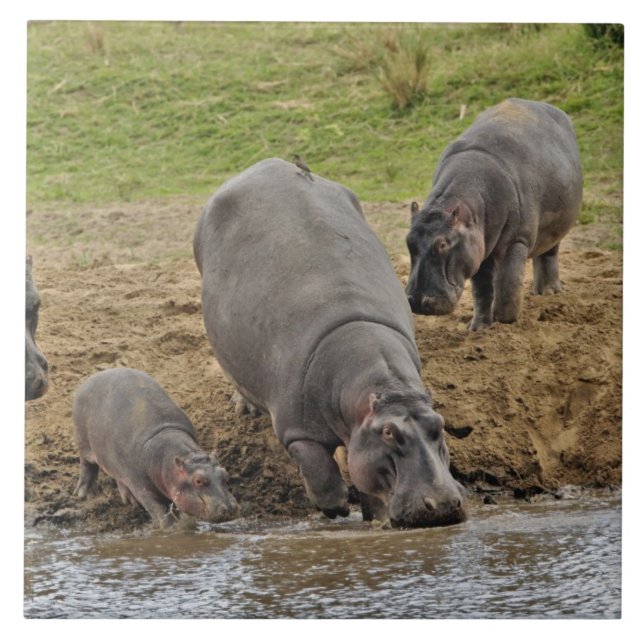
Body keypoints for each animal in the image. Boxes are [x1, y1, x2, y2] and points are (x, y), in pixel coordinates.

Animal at [72, 368, 239, 528]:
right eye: (198, 481)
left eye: (225, 474)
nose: (230, 508)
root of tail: (93, 376)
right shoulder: (142, 488)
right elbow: (159, 512)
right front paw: (172, 529)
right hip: (84, 442)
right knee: (87, 466)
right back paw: (84, 494)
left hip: (113, 460)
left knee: (119, 477)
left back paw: (129, 501)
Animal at [193, 157, 466, 528]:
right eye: (389, 433)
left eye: (439, 425)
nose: (442, 505)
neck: (384, 388)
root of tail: (265, 163)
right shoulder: (297, 429)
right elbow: (320, 471)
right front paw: (335, 509)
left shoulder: (360, 436)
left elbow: (365, 477)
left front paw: (375, 519)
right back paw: (244, 407)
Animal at [405, 98, 583, 331]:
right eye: (408, 241)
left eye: (443, 244)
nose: (417, 300)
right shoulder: (477, 250)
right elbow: (482, 291)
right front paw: (478, 328)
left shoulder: (516, 240)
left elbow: (508, 283)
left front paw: (505, 323)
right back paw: (538, 292)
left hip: (556, 227)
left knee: (549, 253)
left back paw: (550, 292)